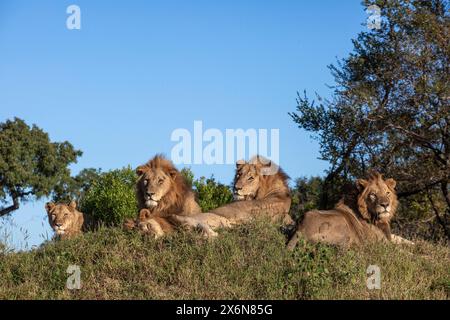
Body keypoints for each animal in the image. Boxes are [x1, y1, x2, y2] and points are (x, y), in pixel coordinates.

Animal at [286, 172, 414, 250]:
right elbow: (402, 251)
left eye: (387, 193)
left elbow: (400, 239)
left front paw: (414, 244)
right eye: (373, 195)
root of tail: (300, 229)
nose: (385, 205)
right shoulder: (379, 243)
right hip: (342, 227)